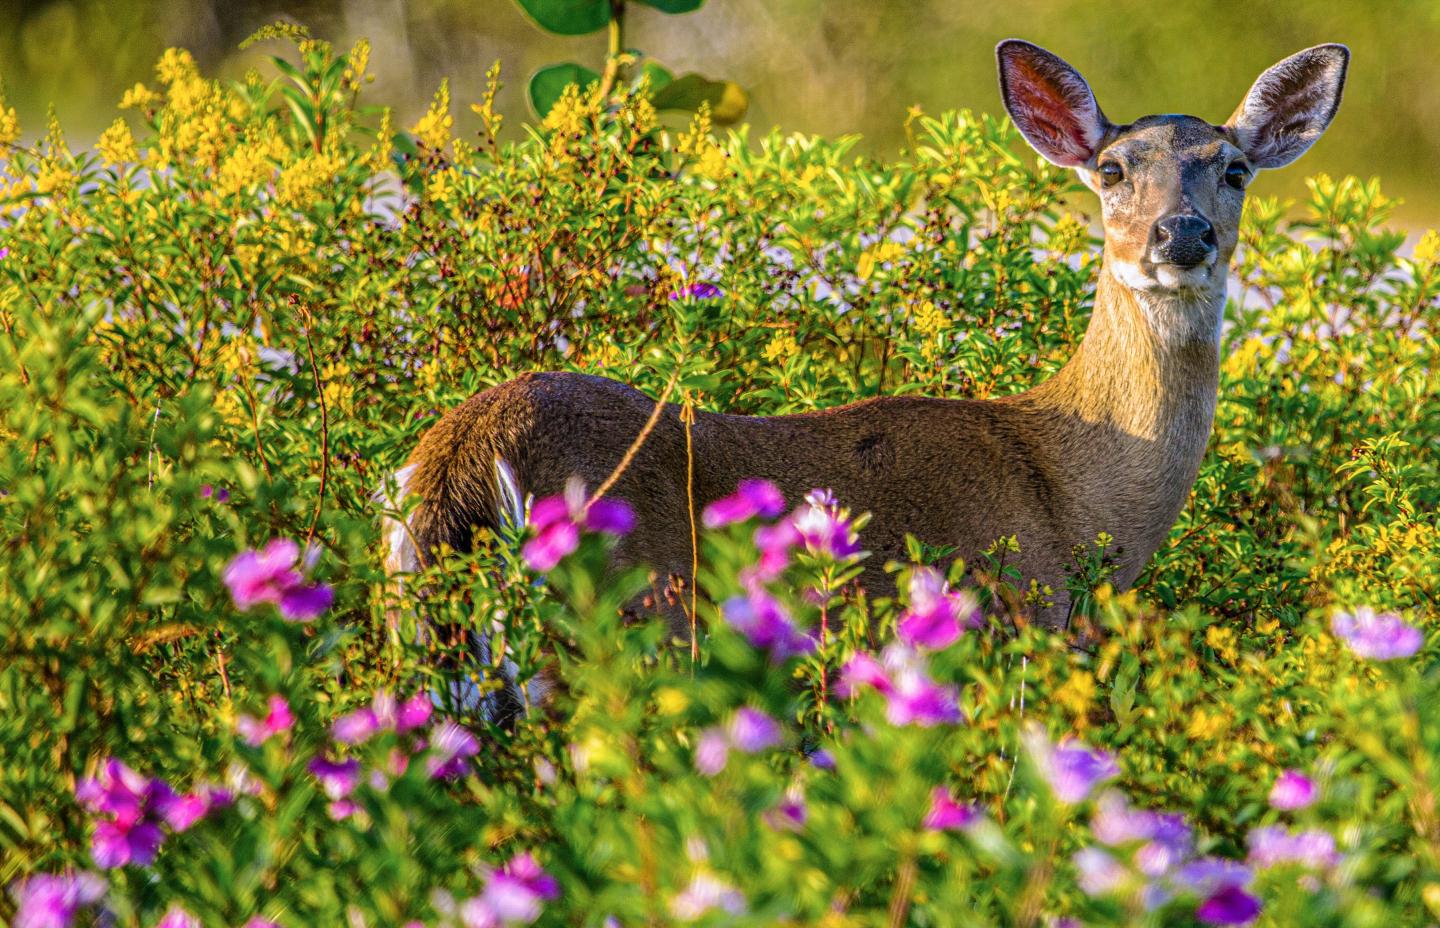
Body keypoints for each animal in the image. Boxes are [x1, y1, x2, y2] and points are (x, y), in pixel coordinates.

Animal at [382, 39, 1349, 639]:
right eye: (1111, 169)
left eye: (1235, 169)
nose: (1182, 235)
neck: (1072, 498)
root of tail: (459, 454)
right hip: (628, 607)